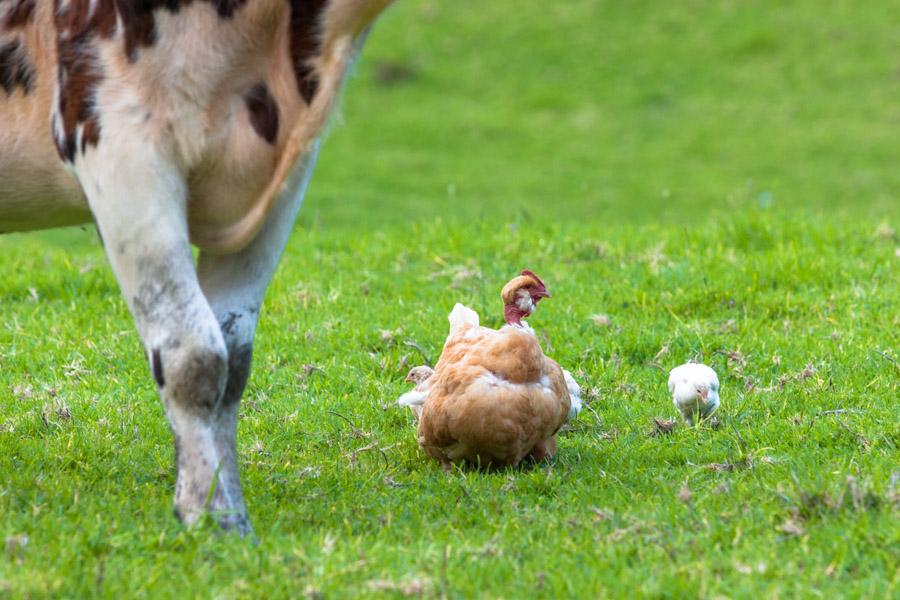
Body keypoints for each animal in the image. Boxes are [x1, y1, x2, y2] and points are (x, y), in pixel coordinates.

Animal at [0, 0, 394, 536]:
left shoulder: (285, 184)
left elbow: (233, 359)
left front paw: (229, 507)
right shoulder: (116, 136)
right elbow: (194, 357)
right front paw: (209, 517)